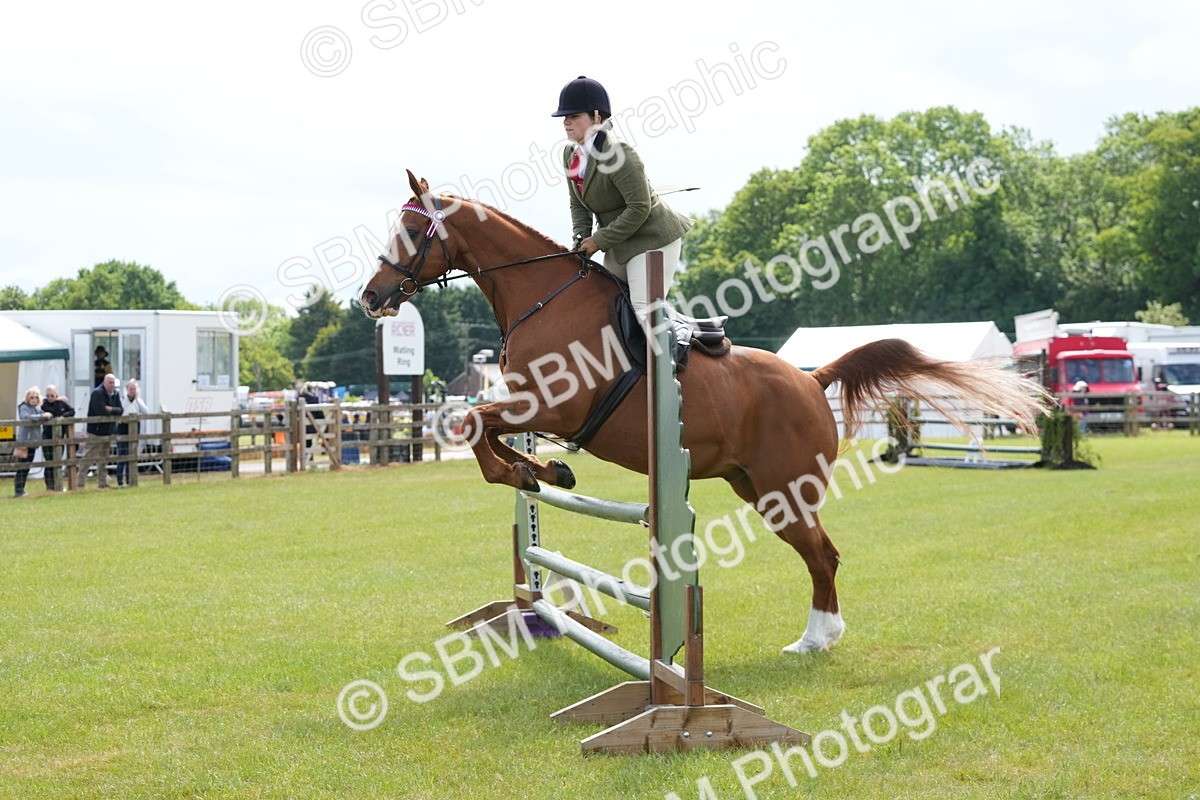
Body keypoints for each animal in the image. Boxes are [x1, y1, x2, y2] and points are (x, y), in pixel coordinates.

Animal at [359, 170, 1046, 654]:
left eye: (411, 233)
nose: (370, 297)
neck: (542, 298)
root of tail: (811, 378)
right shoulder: (530, 406)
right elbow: (482, 426)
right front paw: (546, 472)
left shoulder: (554, 404)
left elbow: (474, 424)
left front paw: (539, 472)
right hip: (754, 485)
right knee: (819, 554)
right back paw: (817, 636)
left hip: (784, 490)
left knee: (823, 555)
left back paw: (815, 640)